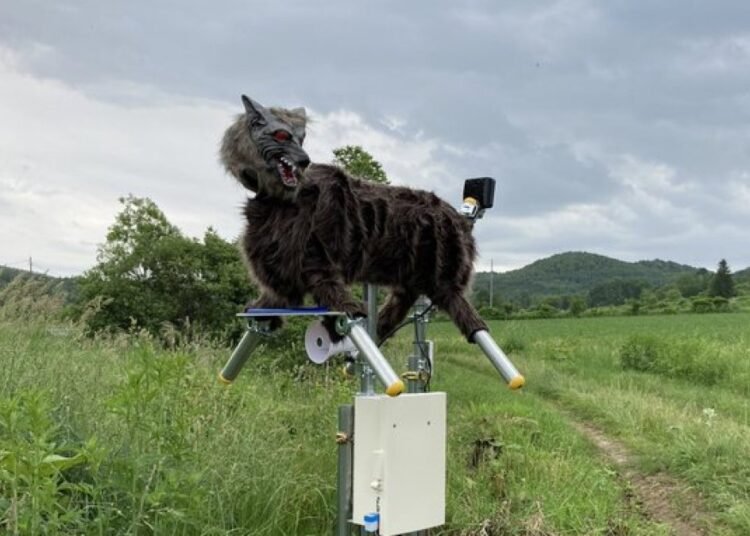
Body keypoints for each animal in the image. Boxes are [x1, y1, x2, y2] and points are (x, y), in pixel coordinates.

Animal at [220, 96, 488, 343]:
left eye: (302, 137)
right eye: (281, 135)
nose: (304, 160)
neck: (276, 201)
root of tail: (459, 218)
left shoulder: (316, 258)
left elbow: (330, 289)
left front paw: (343, 316)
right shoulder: (283, 265)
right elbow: (278, 295)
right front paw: (261, 307)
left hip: (443, 276)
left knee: (463, 309)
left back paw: (472, 326)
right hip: (411, 276)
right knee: (401, 301)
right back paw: (380, 326)